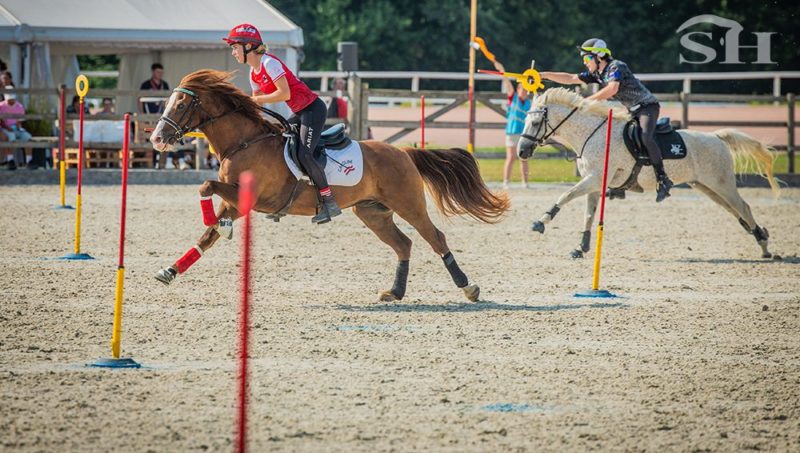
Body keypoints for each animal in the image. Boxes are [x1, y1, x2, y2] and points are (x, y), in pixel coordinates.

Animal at [148, 70, 509, 302]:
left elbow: (205, 186)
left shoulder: (252, 198)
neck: (244, 142)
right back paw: (395, 292)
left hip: (409, 204)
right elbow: (206, 234)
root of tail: (403, 151)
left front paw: (216, 223)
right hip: (373, 213)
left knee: (435, 238)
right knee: (403, 244)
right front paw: (171, 269)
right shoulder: (237, 202)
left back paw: (468, 287)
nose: (156, 139)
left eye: (180, 105)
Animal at [516, 88, 780, 259]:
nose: (521, 151)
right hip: (707, 187)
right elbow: (589, 215)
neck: (592, 133)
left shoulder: (594, 179)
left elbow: (566, 196)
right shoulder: (594, 182)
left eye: (536, 122)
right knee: (736, 211)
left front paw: (541, 221)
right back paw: (759, 236)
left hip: (722, 184)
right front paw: (581, 247)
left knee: (743, 207)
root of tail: (716, 137)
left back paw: (765, 246)